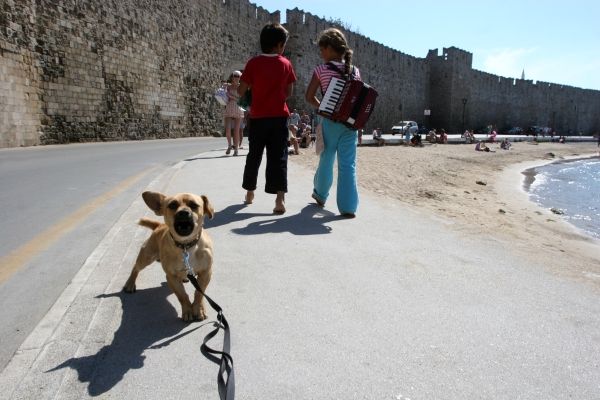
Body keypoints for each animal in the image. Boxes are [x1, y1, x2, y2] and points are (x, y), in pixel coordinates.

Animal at [123, 191, 214, 322]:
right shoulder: (172, 277)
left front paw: (199, 309)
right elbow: (182, 296)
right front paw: (187, 310)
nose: (183, 212)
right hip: (146, 257)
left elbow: (199, 293)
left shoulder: (205, 273)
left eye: (193, 205)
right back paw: (130, 283)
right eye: (172, 205)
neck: (186, 246)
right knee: (136, 268)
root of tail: (159, 226)